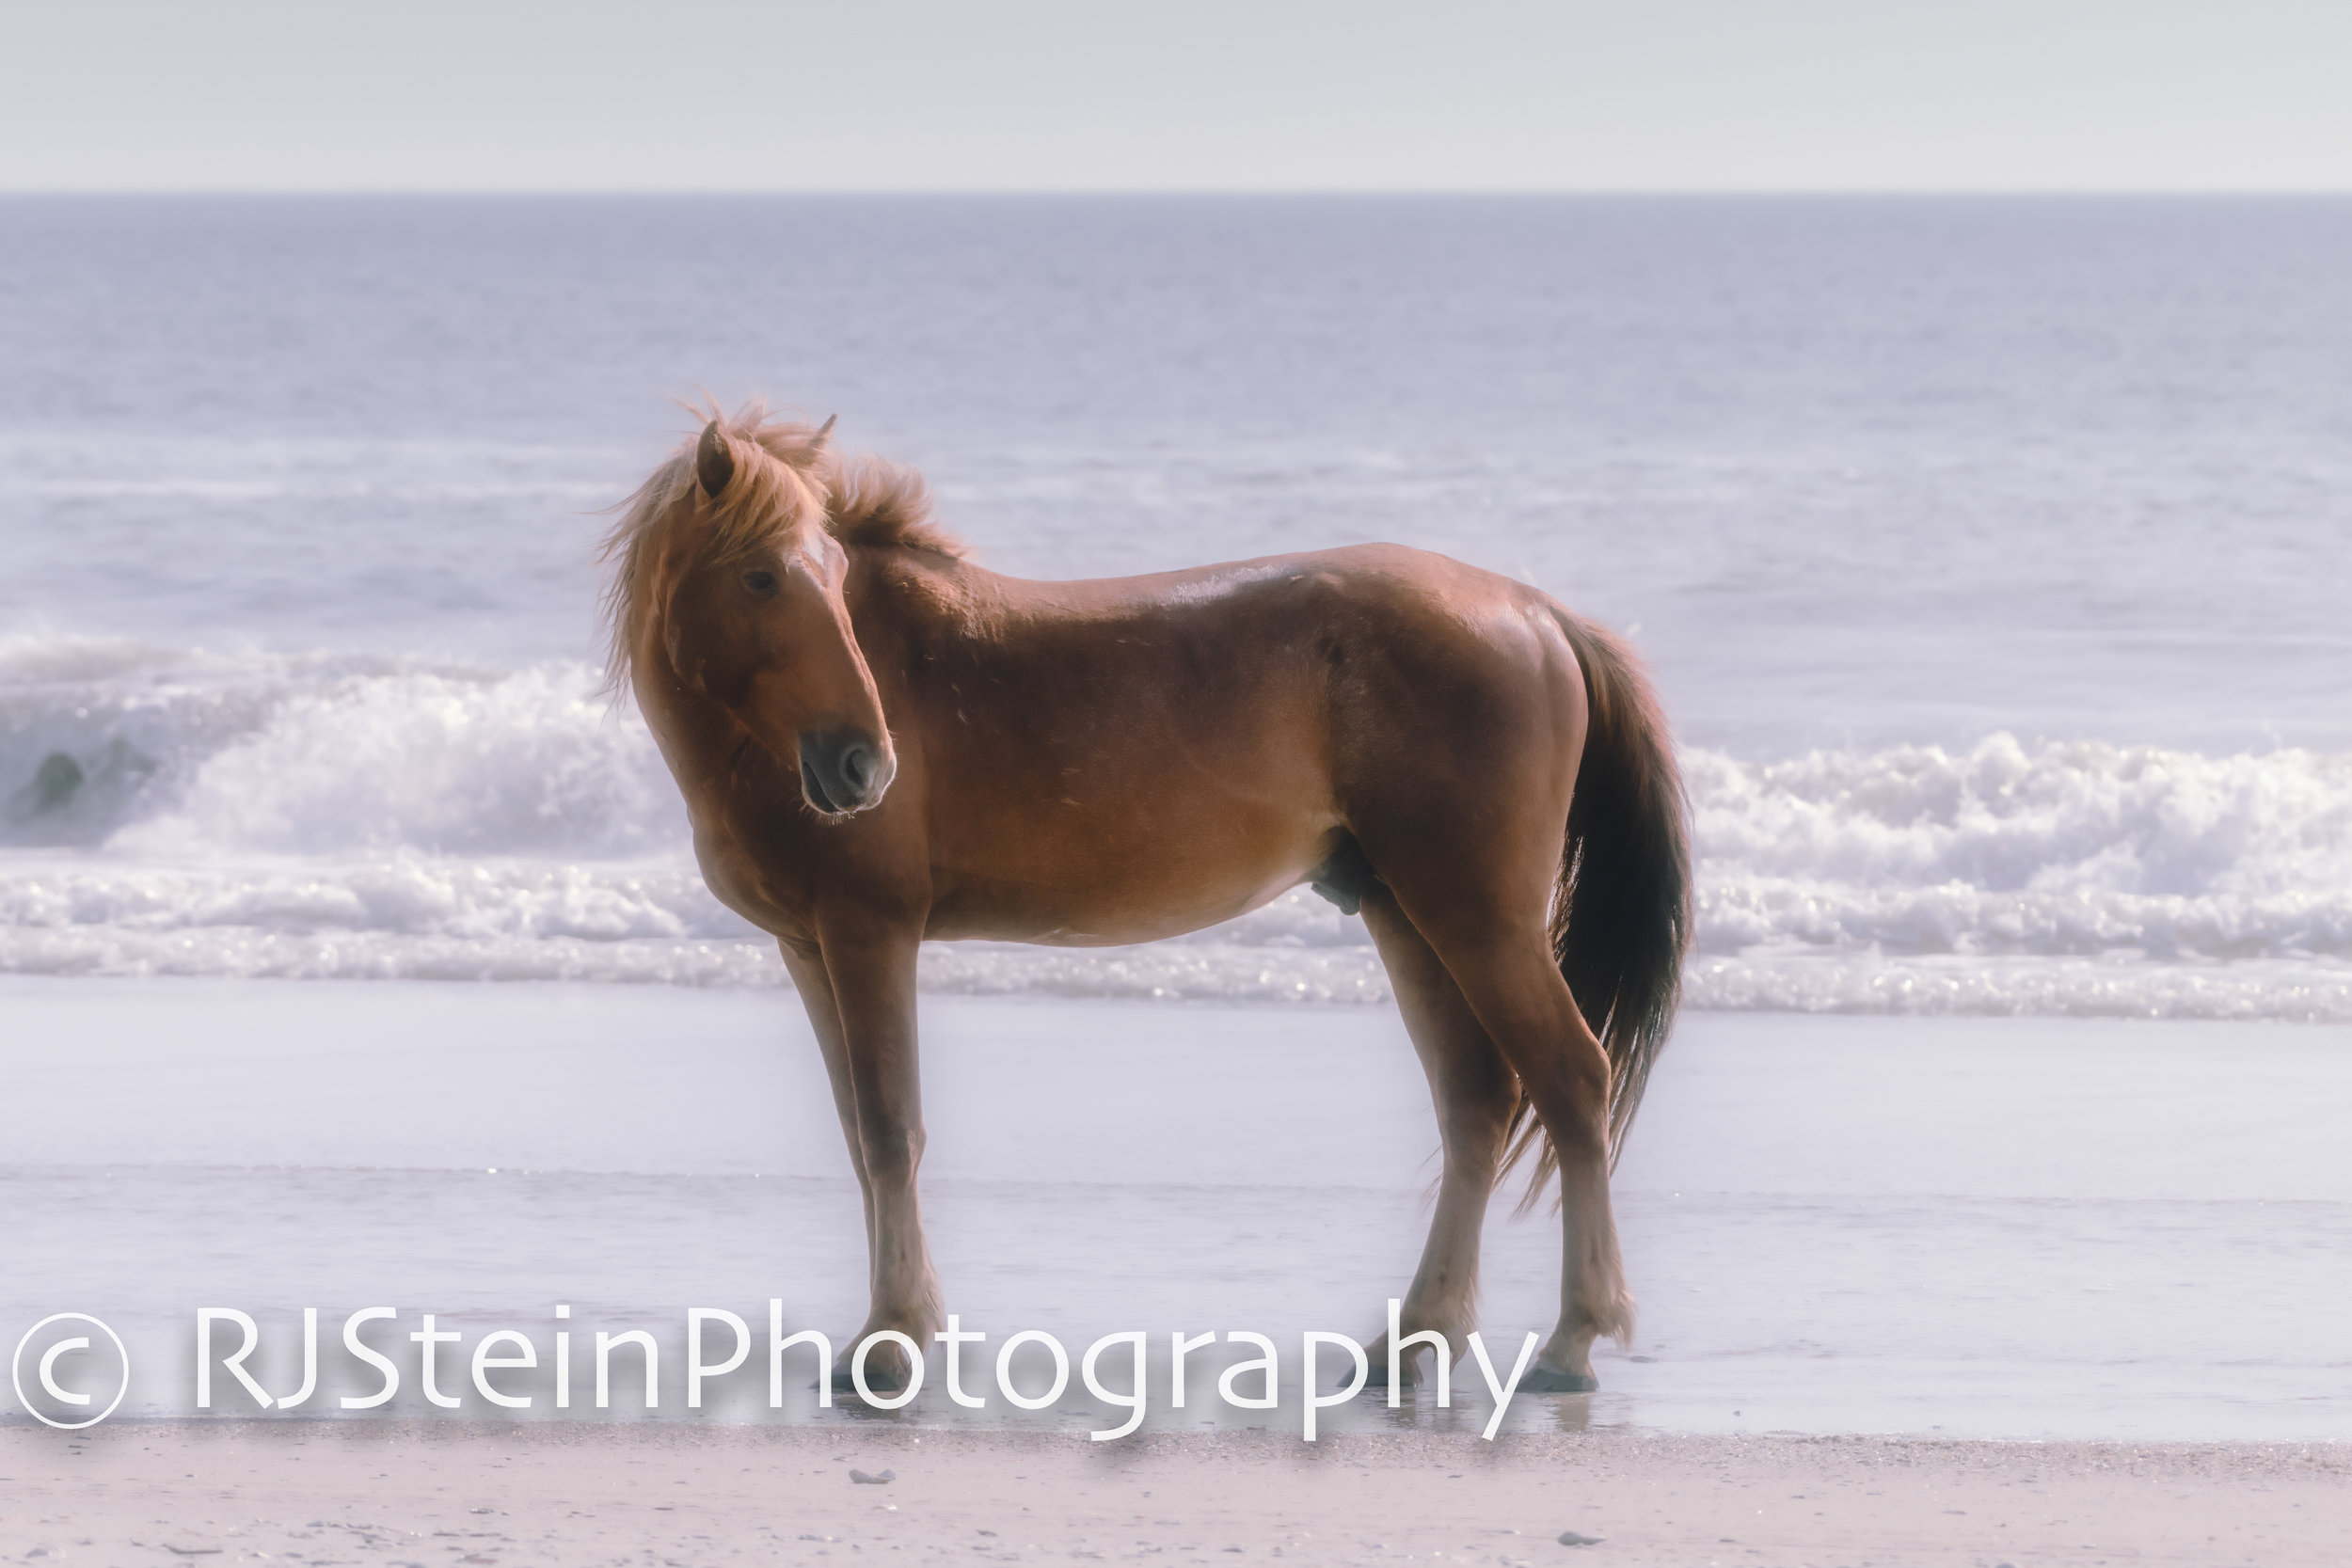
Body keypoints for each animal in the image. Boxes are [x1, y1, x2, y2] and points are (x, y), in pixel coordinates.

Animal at [597, 408, 1684, 1401]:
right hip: (1407, 915)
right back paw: (1413, 1338)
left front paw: (892, 1341)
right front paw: (893, 1325)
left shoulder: (868, 931)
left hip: (1478, 920)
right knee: (1475, 1104)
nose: (863, 761)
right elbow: (861, 1137)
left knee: (1570, 1081)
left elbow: (889, 1129)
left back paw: (1570, 1338)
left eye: (831, 580)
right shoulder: (810, 945)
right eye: (762, 577)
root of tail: (1531, 608)